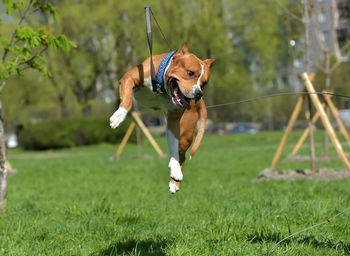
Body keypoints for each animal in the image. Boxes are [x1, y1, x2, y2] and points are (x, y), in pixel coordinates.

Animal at [110, 43, 213, 192]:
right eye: (190, 73)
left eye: (204, 83)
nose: (199, 94)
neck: (162, 88)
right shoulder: (128, 78)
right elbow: (127, 100)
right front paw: (119, 116)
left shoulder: (173, 121)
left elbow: (174, 148)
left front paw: (175, 169)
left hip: (185, 135)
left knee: (181, 155)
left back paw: (175, 180)